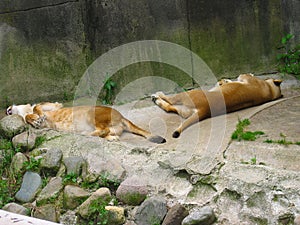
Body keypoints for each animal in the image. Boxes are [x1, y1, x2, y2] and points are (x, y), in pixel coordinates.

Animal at [6, 103, 166, 143]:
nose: (7, 110)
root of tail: (121, 116)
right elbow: (28, 117)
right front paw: (35, 121)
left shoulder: (54, 105)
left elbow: (35, 108)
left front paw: (37, 118)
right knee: (107, 132)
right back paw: (110, 138)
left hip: (91, 114)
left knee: (102, 129)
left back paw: (86, 134)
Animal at [154, 74, 282, 137]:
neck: (270, 91)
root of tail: (204, 110)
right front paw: (224, 81)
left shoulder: (246, 78)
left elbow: (243, 75)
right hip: (184, 110)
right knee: (169, 107)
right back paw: (157, 100)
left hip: (189, 93)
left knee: (170, 100)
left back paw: (157, 95)